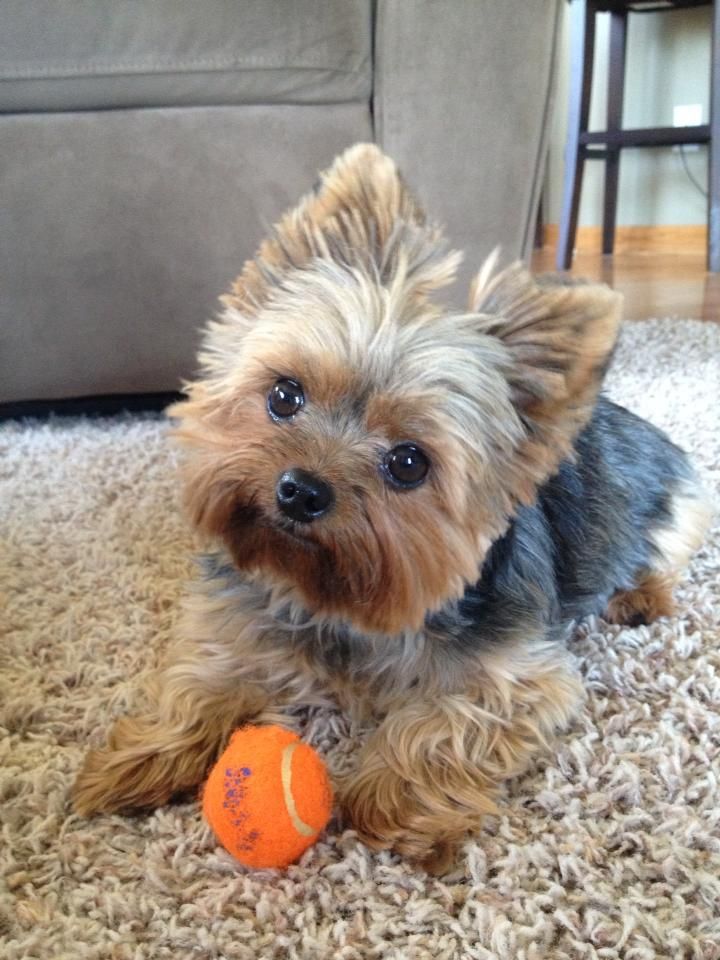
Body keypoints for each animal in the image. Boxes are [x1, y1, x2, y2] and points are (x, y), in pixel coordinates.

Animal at [70, 144, 712, 876]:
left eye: (409, 463)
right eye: (284, 396)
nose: (300, 490)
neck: (333, 600)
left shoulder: (521, 676)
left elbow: (441, 726)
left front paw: (392, 804)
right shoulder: (235, 616)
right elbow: (199, 677)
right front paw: (140, 757)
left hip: (683, 505)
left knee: (663, 558)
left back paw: (639, 597)